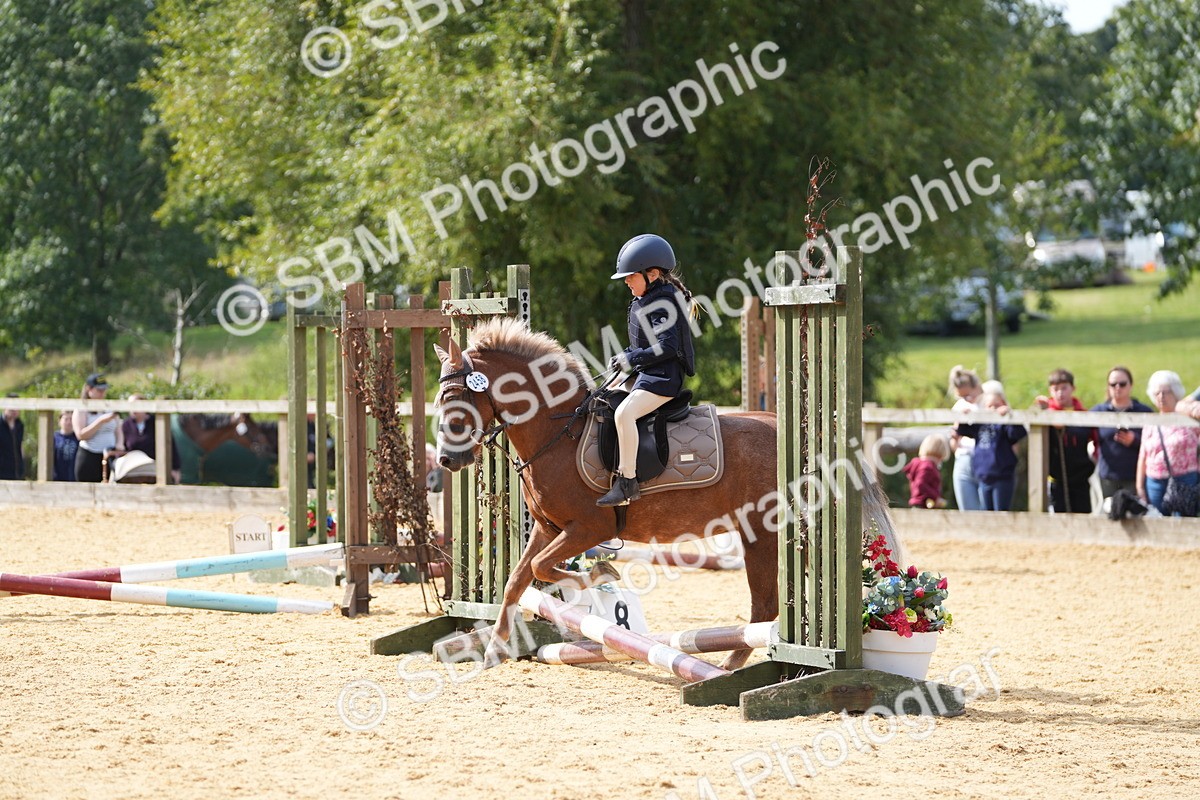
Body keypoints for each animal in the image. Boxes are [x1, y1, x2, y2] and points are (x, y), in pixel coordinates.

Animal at [434, 316, 900, 673]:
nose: (446, 460)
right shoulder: (549, 529)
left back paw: (728, 667)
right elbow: (519, 579)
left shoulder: (587, 527)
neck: (558, 433)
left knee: (766, 606)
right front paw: (495, 648)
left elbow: (545, 569)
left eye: (456, 396)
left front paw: (601, 575)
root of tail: (801, 441)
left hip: (764, 534)